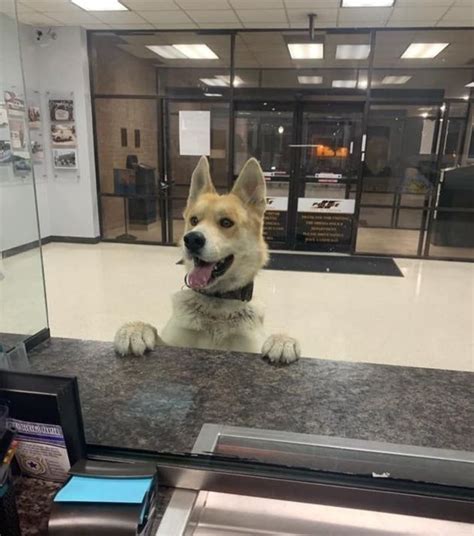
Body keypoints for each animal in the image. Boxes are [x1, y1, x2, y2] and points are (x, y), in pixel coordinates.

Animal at [113, 155, 300, 364]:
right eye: (194, 220)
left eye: (226, 222)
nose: (192, 239)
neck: (216, 302)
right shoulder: (173, 342)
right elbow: (153, 330)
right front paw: (134, 329)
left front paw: (282, 340)